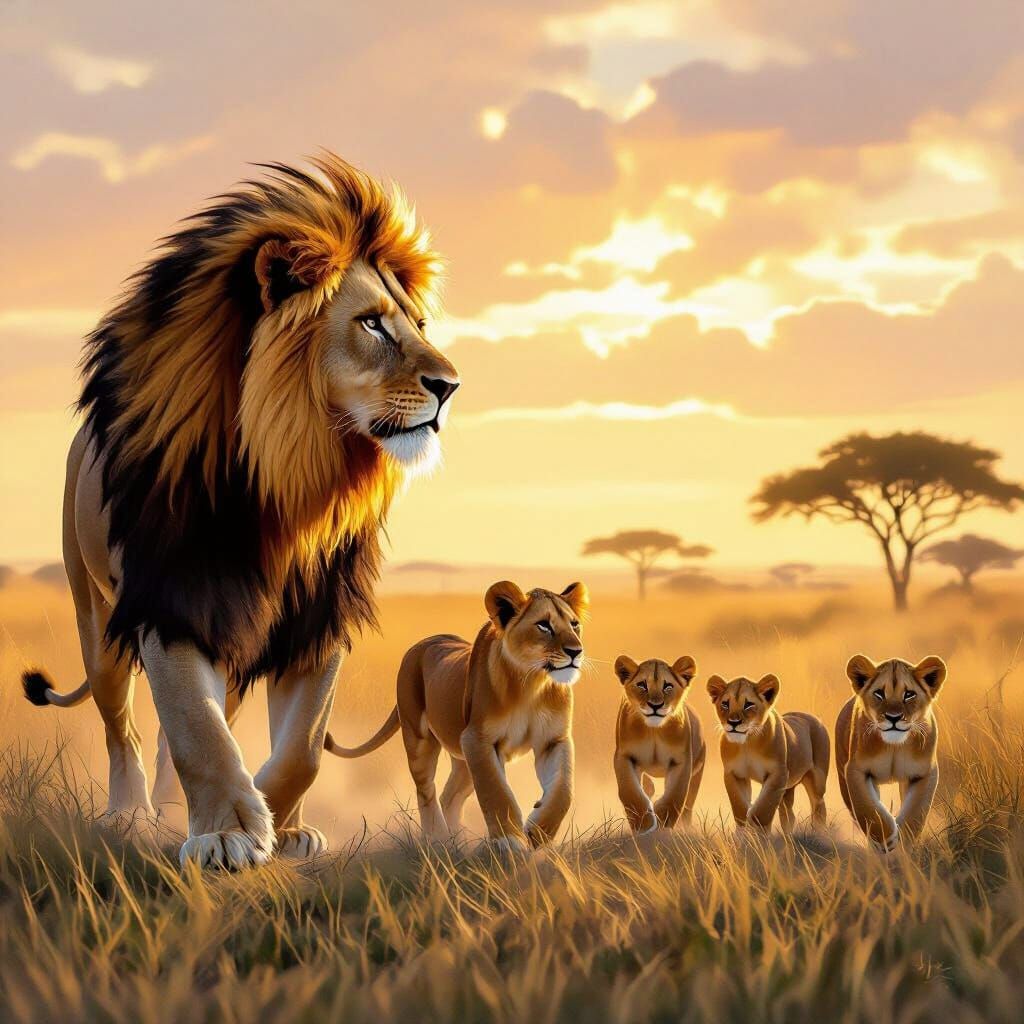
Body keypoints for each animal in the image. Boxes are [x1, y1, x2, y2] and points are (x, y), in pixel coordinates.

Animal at [21, 154, 459, 869]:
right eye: (371, 323)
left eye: (418, 327)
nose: (450, 386)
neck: (289, 478)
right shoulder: (171, 599)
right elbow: (195, 727)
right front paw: (227, 833)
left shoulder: (316, 617)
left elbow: (302, 748)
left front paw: (277, 825)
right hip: (97, 621)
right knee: (125, 730)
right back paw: (132, 814)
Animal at [325, 581, 588, 850]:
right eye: (543, 625)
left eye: (574, 624)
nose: (576, 651)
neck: (532, 683)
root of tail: (420, 644)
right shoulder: (477, 739)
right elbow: (497, 791)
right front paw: (511, 841)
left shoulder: (553, 741)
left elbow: (563, 789)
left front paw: (538, 835)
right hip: (420, 738)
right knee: (426, 792)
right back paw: (438, 840)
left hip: (463, 761)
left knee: (449, 796)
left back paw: (456, 844)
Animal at [613, 656, 705, 832]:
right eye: (642, 684)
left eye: (667, 685)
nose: (655, 705)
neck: (653, 730)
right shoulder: (624, 756)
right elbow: (630, 792)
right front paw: (643, 824)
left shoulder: (682, 760)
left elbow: (675, 795)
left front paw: (663, 823)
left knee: (689, 803)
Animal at [706, 674, 829, 833]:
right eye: (725, 704)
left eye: (748, 704)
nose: (733, 722)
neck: (747, 743)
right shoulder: (734, 773)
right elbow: (739, 805)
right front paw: (743, 832)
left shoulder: (778, 773)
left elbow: (764, 807)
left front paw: (758, 829)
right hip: (788, 788)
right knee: (788, 816)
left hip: (817, 780)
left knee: (818, 806)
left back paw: (820, 832)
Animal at [835, 654, 946, 852]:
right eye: (879, 693)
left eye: (909, 694)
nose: (893, 717)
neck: (894, 746)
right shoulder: (855, 770)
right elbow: (868, 809)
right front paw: (886, 838)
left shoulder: (925, 772)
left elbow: (916, 811)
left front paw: (904, 841)